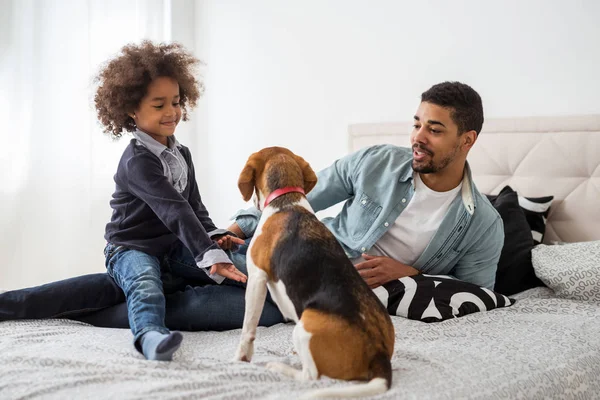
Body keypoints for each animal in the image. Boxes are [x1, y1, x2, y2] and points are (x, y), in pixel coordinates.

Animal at [233, 148, 394, 398]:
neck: (286, 201)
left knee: (312, 376)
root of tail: (379, 354)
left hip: (303, 327)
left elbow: (247, 327)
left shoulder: (257, 278)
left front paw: (241, 357)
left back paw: (280, 367)